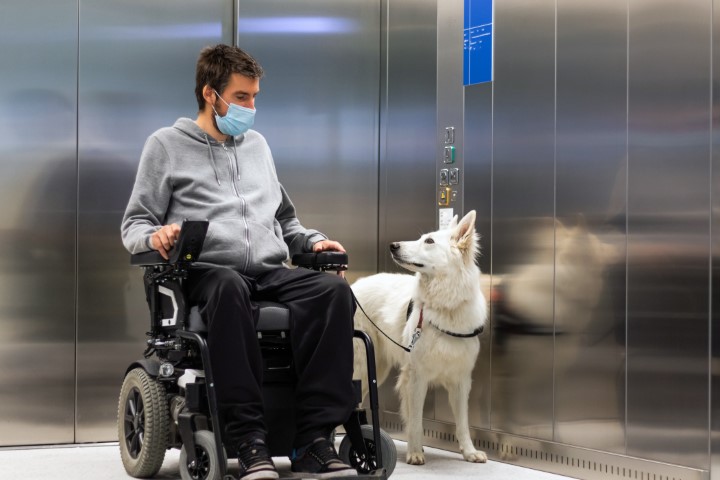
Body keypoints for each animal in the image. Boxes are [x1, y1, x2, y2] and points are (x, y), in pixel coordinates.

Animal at [350, 210, 486, 464]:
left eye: (429, 241)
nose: (393, 245)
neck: (445, 307)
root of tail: (352, 285)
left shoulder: (461, 381)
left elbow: (462, 422)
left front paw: (469, 451)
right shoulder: (415, 377)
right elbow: (415, 420)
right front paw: (414, 451)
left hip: (376, 369)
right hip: (361, 367)